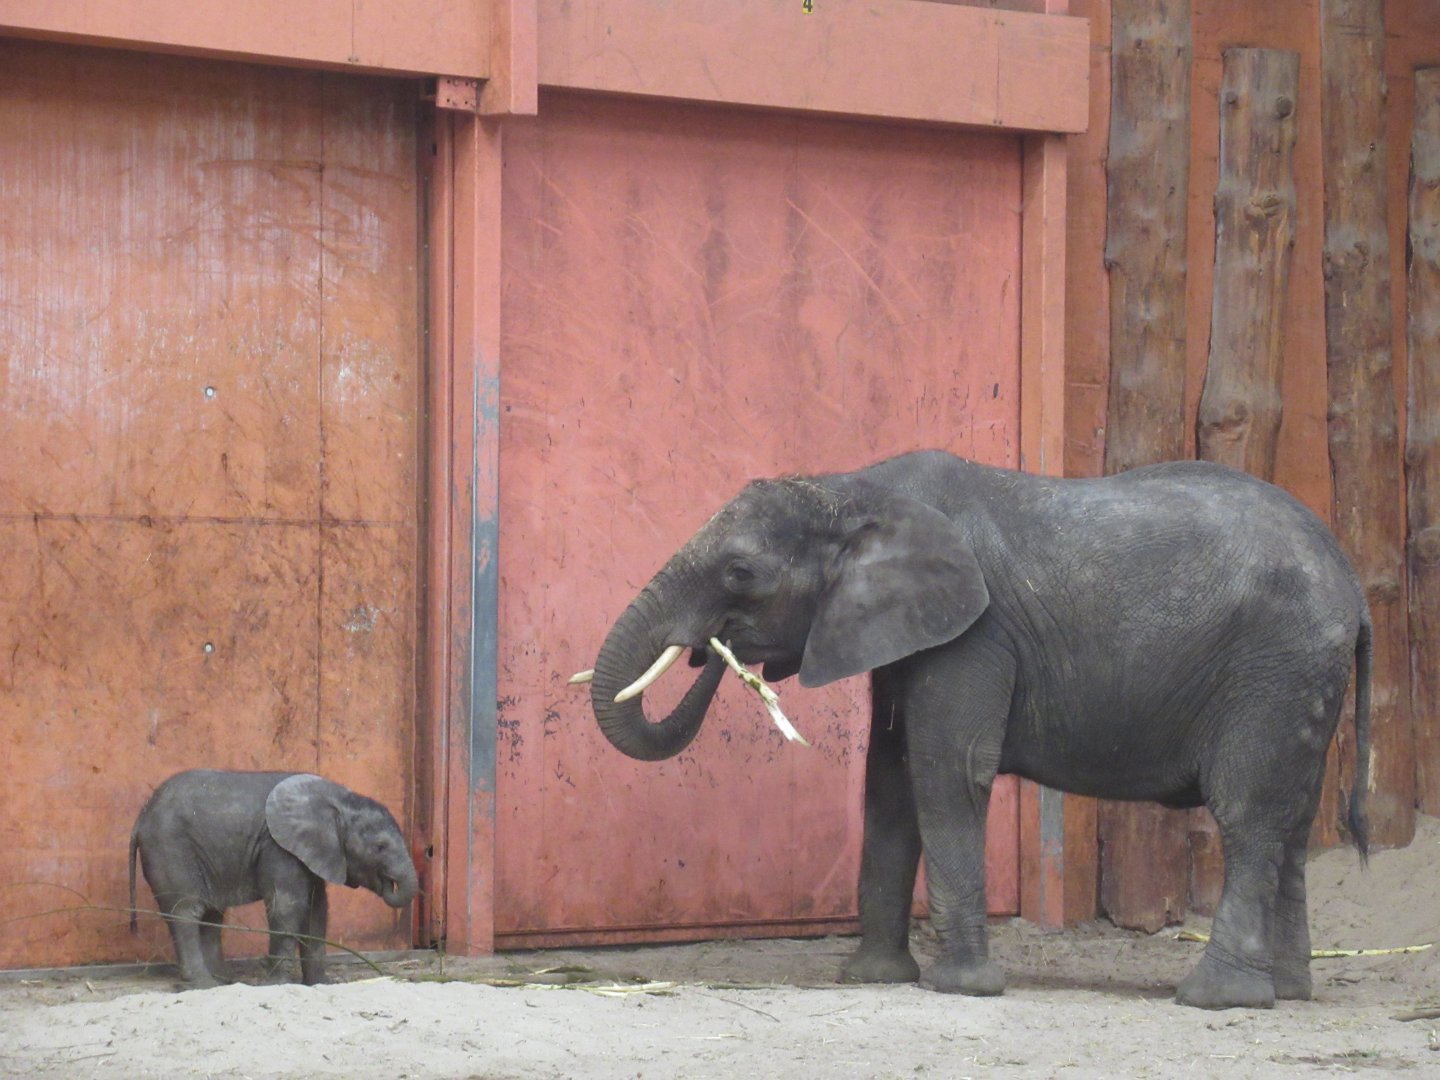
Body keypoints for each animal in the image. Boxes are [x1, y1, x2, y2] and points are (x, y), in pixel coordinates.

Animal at [129, 769, 419, 988]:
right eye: (380, 847)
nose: (389, 882)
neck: (338, 800)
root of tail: (142, 815)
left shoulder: (311, 852)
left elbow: (317, 910)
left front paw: (320, 984)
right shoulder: (278, 847)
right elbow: (287, 905)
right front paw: (278, 984)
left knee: (211, 914)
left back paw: (224, 982)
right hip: (170, 849)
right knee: (186, 911)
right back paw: (203, 984)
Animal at [583, 450, 1371, 1010]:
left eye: (741, 572)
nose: (711, 650)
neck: (854, 489)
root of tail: (1354, 582)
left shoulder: (975, 633)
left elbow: (946, 771)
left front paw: (958, 987)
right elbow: (890, 781)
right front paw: (874, 978)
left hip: (1276, 666)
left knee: (1249, 814)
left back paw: (1215, 999)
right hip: (1302, 677)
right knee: (1292, 823)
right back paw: (1288, 991)